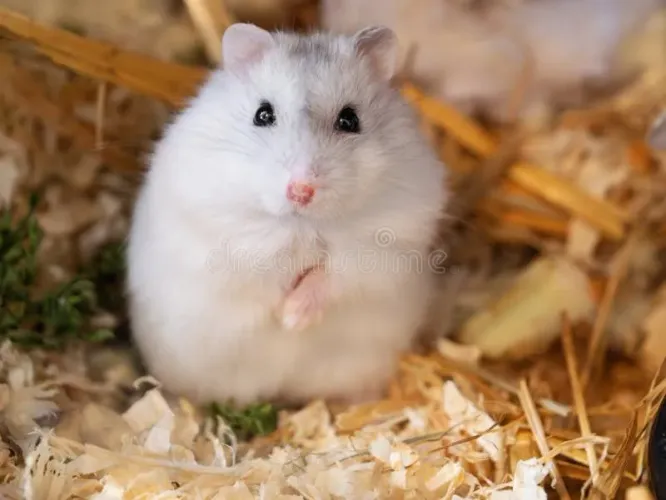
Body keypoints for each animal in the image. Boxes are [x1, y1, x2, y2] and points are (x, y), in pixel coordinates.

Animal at [126, 23, 448, 407]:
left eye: (350, 119)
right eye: (263, 115)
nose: (301, 190)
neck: (302, 224)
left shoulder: (384, 247)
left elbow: (336, 274)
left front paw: (294, 318)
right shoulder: (226, 238)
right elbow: (260, 267)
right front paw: (283, 315)